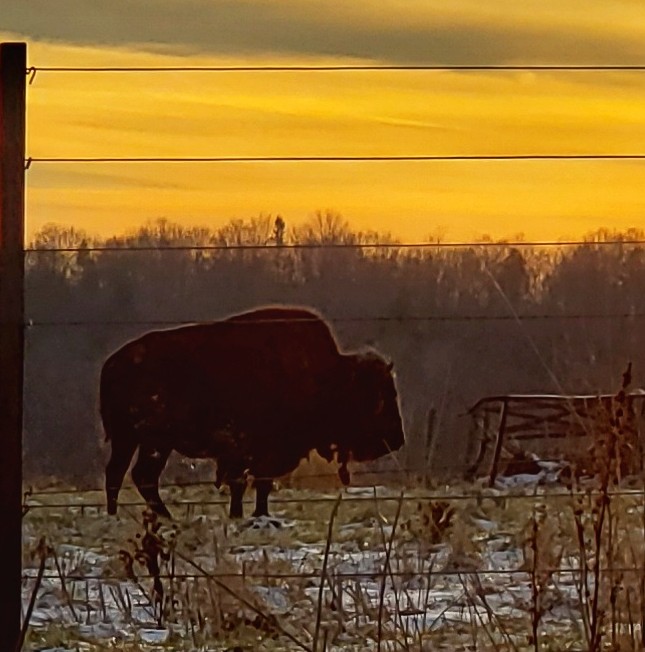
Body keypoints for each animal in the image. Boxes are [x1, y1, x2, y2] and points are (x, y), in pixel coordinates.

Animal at [100, 306, 402, 520]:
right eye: (378, 399)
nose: (396, 439)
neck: (328, 376)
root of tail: (113, 363)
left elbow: (255, 485)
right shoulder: (251, 451)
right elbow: (247, 483)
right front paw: (245, 515)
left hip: (132, 441)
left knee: (120, 473)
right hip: (152, 442)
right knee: (140, 475)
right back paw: (162, 517)